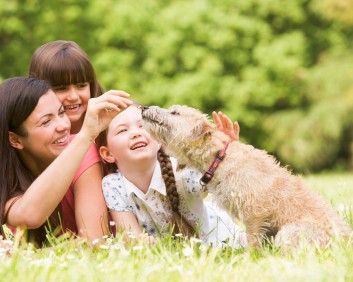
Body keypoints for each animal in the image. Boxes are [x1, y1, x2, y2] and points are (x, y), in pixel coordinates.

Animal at [141, 104, 352, 248]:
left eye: (175, 112)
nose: (144, 107)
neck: (219, 157)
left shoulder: (255, 214)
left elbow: (252, 242)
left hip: (289, 232)